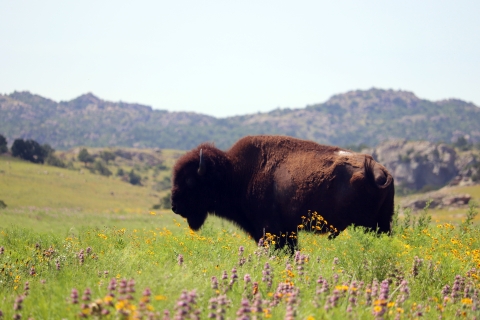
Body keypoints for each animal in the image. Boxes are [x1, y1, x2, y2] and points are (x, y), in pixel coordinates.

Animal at [172, 134, 394, 250]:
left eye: (190, 181)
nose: (175, 206)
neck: (235, 173)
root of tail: (382, 172)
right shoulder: (288, 231)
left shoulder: (270, 229)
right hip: (382, 222)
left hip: (370, 224)